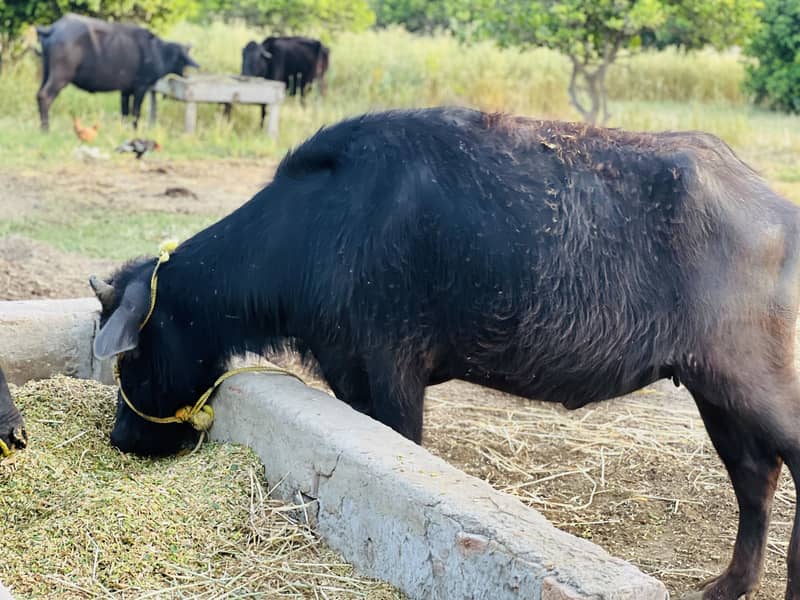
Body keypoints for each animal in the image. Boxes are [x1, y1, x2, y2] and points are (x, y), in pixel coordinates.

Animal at [36, 13, 199, 131]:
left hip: (46, 72)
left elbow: (124, 112)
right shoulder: (141, 88)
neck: (158, 53)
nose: (189, 72)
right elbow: (135, 112)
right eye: (182, 58)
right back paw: (46, 129)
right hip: (61, 76)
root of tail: (53, 29)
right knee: (45, 96)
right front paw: (135, 131)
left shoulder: (125, 91)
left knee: (38, 94)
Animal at [91, 107, 800, 599]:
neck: (320, 229)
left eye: (132, 355)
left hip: (755, 386)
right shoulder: (350, 373)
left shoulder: (391, 370)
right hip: (712, 389)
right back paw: (728, 585)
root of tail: (780, 215)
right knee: (754, 476)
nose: (123, 437)